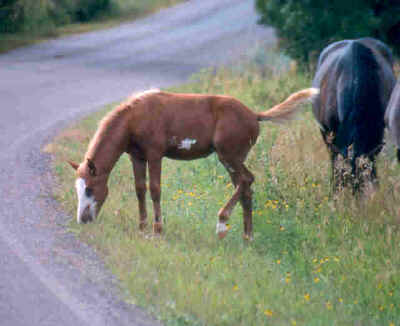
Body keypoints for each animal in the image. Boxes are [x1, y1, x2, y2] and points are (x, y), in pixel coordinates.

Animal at [69, 88, 318, 238]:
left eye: (89, 189)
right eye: (78, 189)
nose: (82, 220)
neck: (135, 118)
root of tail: (255, 115)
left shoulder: (154, 155)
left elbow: (155, 189)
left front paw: (158, 229)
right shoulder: (136, 156)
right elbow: (140, 189)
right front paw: (141, 227)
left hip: (229, 156)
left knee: (247, 180)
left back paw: (221, 224)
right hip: (232, 159)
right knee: (246, 187)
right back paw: (247, 236)